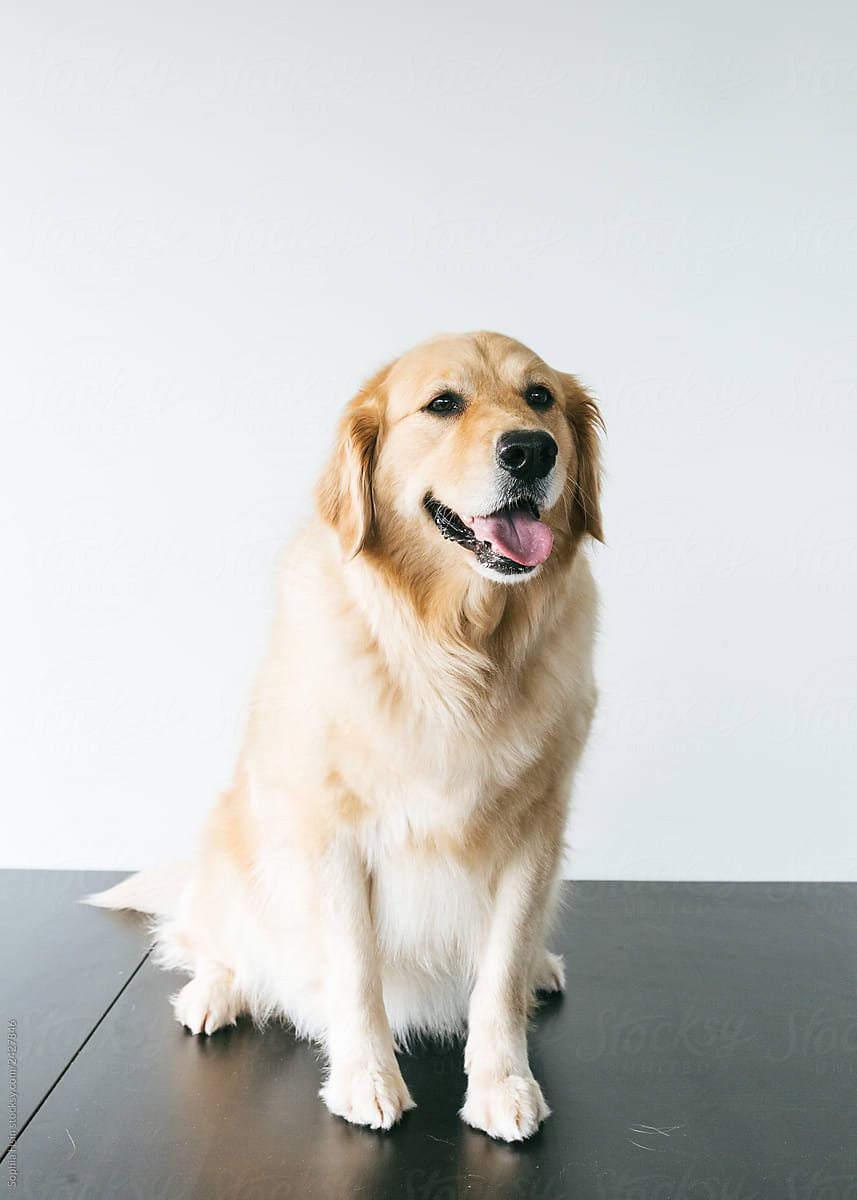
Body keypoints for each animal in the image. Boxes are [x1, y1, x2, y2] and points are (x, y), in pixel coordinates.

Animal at [83, 331, 597, 1142]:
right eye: (443, 403)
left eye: (539, 397)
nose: (531, 449)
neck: (453, 650)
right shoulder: (330, 835)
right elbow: (355, 975)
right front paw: (366, 1079)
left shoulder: (534, 833)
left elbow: (498, 976)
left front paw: (503, 1082)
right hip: (235, 848)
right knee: (212, 940)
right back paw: (214, 993)